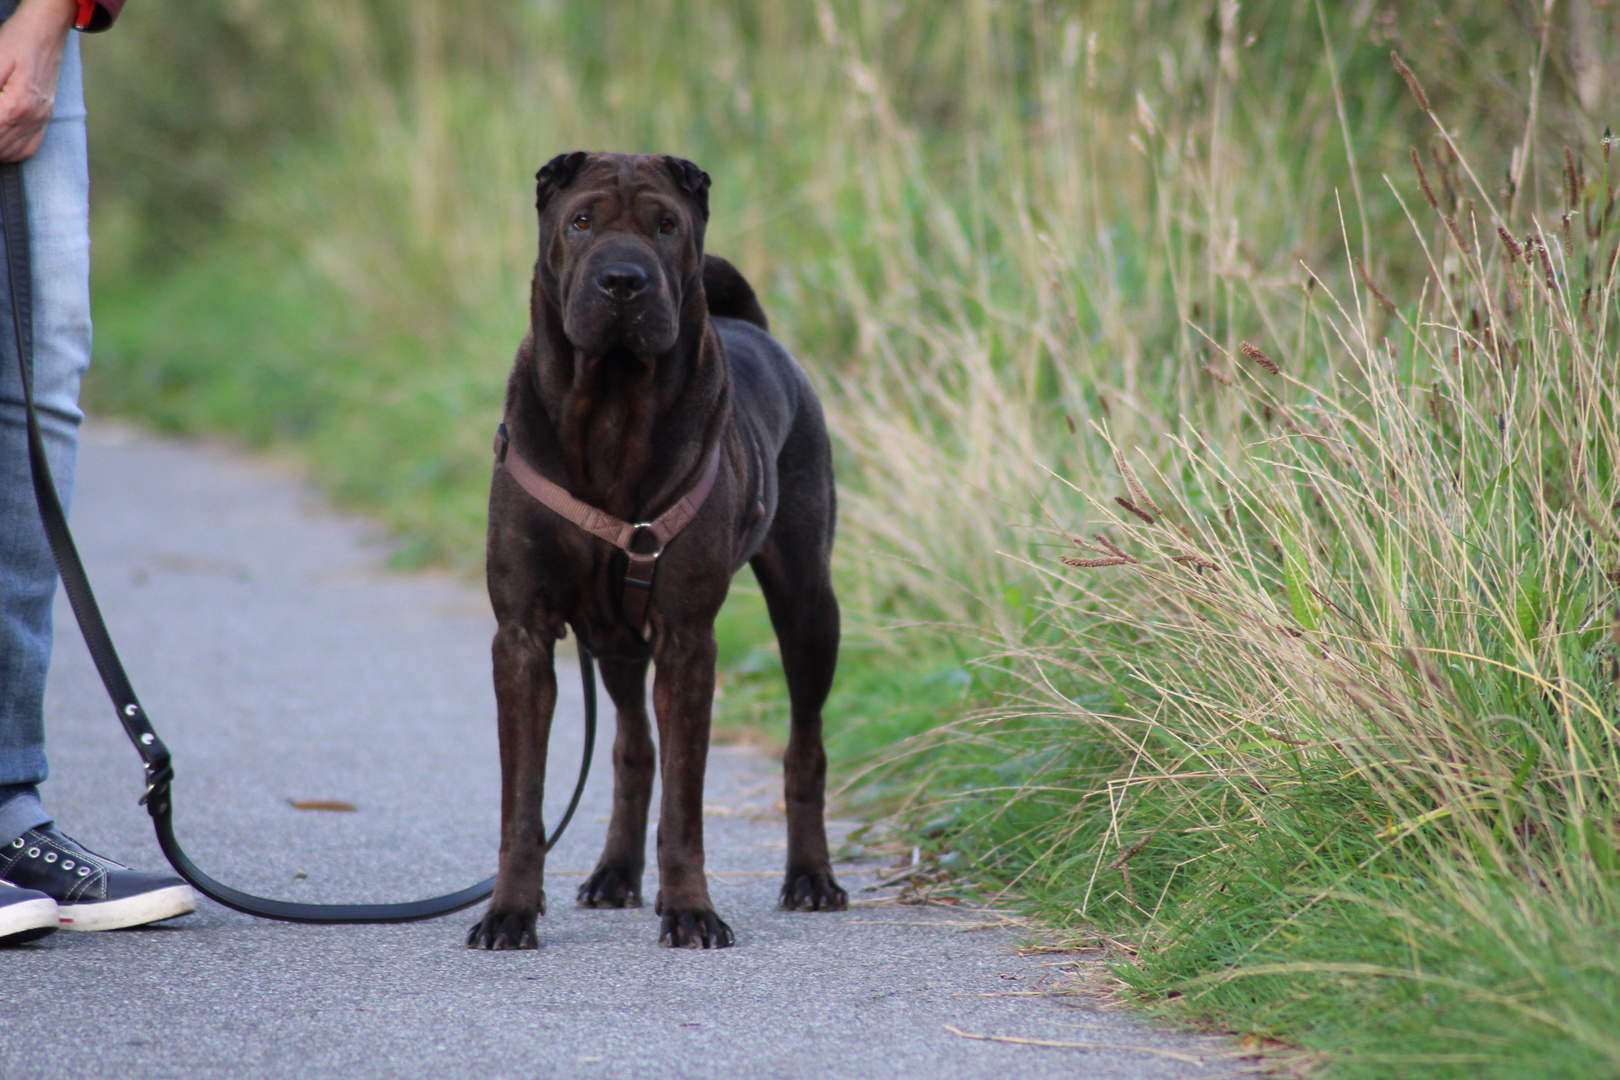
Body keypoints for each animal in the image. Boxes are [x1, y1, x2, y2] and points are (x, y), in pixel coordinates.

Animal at [469, 153, 848, 952]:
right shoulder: (523, 635)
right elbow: (524, 801)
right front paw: (510, 910)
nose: (623, 281)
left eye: (666, 225)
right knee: (632, 750)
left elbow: (686, 801)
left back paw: (810, 877)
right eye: (581, 220)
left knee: (805, 745)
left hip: (807, 605)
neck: (611, 406)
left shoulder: (686, 637)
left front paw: (692, 910)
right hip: (613, 637)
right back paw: (614, 872)